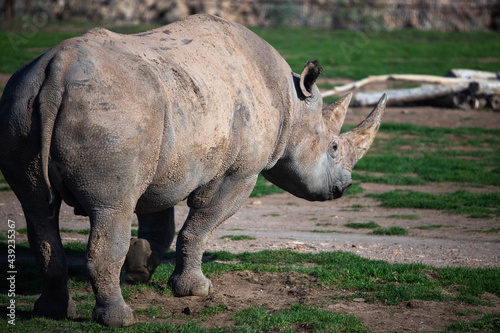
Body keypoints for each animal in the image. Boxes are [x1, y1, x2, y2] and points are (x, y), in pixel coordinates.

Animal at [0, 14, 386, 326]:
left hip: (24, 101)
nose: (344, 187)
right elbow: (199, 227)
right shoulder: (239, 174)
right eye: (333, 148)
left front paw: (140, 268)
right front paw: (195, 290)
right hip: (111, 112)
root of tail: (57, 71)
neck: (293, 107)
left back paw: (53, 312)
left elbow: (160, 220)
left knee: (37, 207)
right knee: (111, 208)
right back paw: (121, 319)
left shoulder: (166, 160)